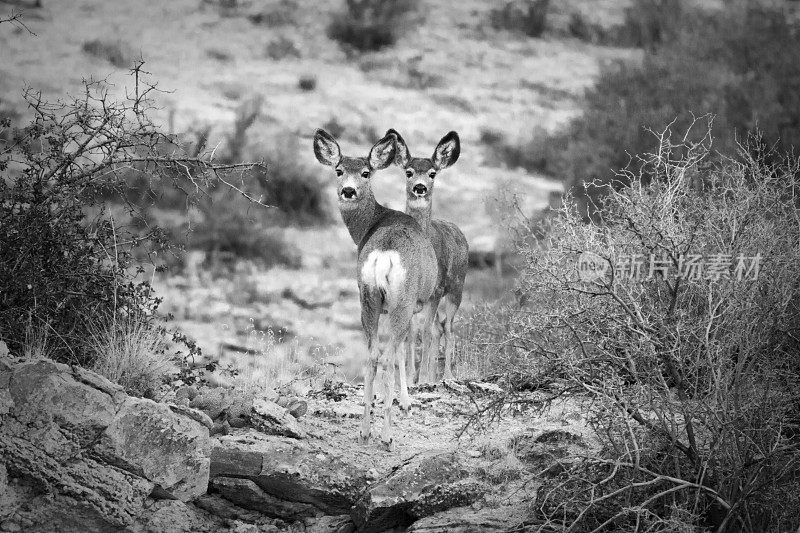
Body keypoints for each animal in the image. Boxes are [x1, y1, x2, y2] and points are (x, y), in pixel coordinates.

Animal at [312, 129, 438, 448]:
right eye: (339, 170)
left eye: (365, 173)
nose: (348, 191)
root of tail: (384, 253)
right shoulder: (416, 304)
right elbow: (406, 350)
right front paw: (406, 403)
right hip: (400, 301)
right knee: (389, 356)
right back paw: (386, 435)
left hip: (366, 297)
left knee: (371, 356)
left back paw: (365, 430)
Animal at [386, 131, 468, 384]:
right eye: (408, 172)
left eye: (432, 173)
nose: (420, 187)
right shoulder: (406, 290)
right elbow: (411, 333)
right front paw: (410, 377)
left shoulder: (437, 289)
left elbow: (425, 331)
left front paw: (421, 379)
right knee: (438, 329)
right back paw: (432, 375)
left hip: (456, 289)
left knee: (448, 330)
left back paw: (446, 376)